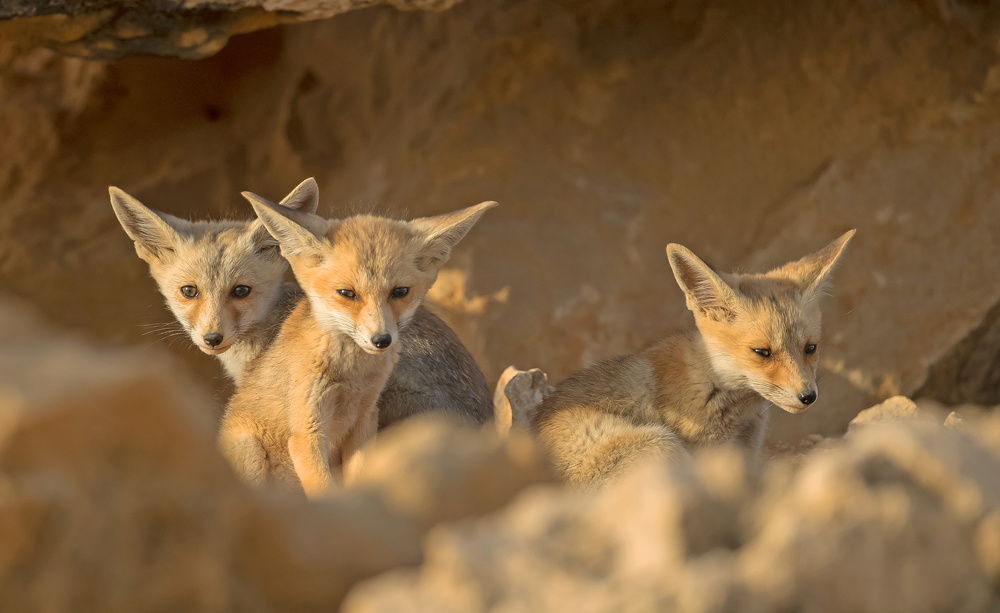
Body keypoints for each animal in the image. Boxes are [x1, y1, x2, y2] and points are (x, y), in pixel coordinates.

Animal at [219, 193, 496, 497]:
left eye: (400, 292)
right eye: (347, 293)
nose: (382, 340)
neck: (351, 378)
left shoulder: (364, 419)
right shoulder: (307, 431)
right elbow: (323, 489)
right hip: (250, 451)